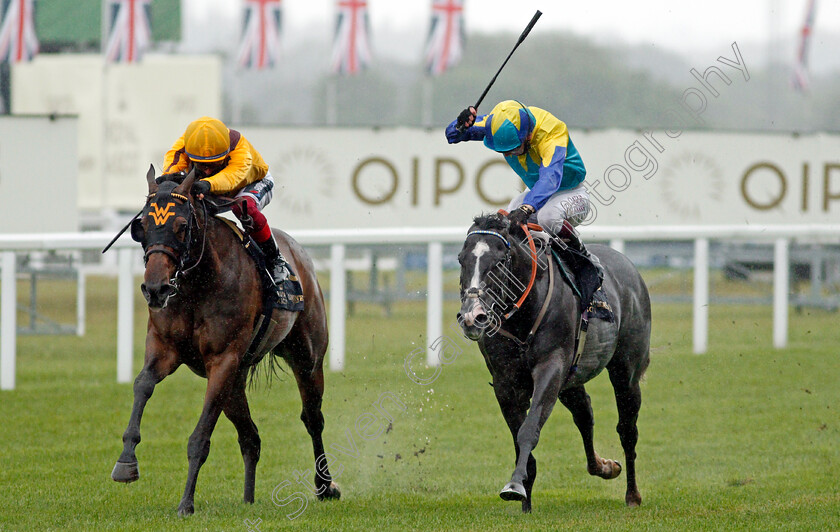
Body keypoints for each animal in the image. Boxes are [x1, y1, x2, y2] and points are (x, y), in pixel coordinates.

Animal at [111, 166, 342, 516]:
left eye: (182, 226)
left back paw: (325, 486)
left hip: (307, 358)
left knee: (313, 419)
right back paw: (248, 498)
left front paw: (186, 503)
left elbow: (200, 437)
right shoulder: (164, 348)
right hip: (236, 382)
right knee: (251, 437)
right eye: (143, 227)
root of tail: (301, 255)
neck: (198, 284)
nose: (155, 289)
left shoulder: (223, 360)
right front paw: (126, 461)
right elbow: (142, 385)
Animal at [460, 214, 648, 512]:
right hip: (571, 379)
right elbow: (519, 434)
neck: (523, 317)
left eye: (499, 262)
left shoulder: (551, 366)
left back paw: (632, 495)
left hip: (625, 369)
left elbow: (529, 430)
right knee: (584, 413)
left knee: (627, 429)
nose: (471, 317)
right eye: (460, 259)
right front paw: (525, 500)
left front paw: (514, 486)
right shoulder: (505, 382)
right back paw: (603, 466)